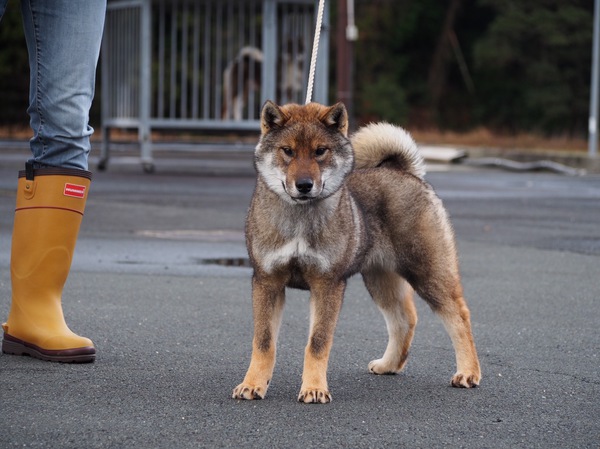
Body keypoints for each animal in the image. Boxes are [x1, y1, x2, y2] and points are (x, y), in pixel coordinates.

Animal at [232, 100, 480, 402]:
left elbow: (317, 342)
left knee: (458, 317)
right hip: (380, 280)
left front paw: (314, 388)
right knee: (404, 320)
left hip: (428, 273)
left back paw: (468, 372)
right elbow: (264, 342)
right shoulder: (267, 283)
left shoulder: (327, 285)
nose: (304, 185)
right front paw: (253, 383)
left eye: (320, 151)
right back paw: (389, 365)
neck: (301, 218)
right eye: (287, 151)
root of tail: (402, 172)